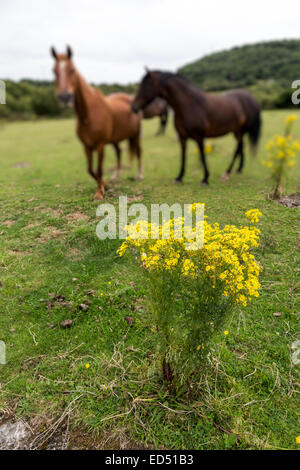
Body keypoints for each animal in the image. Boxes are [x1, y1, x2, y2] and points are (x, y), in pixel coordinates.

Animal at [50, 46, 142, 201]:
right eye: (54, 71)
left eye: (72, 70)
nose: (64, 98)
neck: (88, 115)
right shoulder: (86, 146)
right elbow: (90, 170)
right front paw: (105, 185)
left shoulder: (100, 145)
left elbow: (98, 170)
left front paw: (99, 193)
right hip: (114, 139)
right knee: (118, 152)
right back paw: (115, 175)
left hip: (136, 135)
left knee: (139, 152)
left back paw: (139, 175)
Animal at [131, 69, 260, 185]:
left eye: (145, 85)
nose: (134, 107)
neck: (189, 105)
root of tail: (251, 97)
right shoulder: (182, 137)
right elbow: (183, 156)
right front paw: (179, 177)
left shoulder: (199, 137)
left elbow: (202, 156)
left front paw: (205, 178)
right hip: (237, 131)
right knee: (241, 147)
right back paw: (238, 169)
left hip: (240, 131)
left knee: (238, 148)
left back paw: (227, 173)